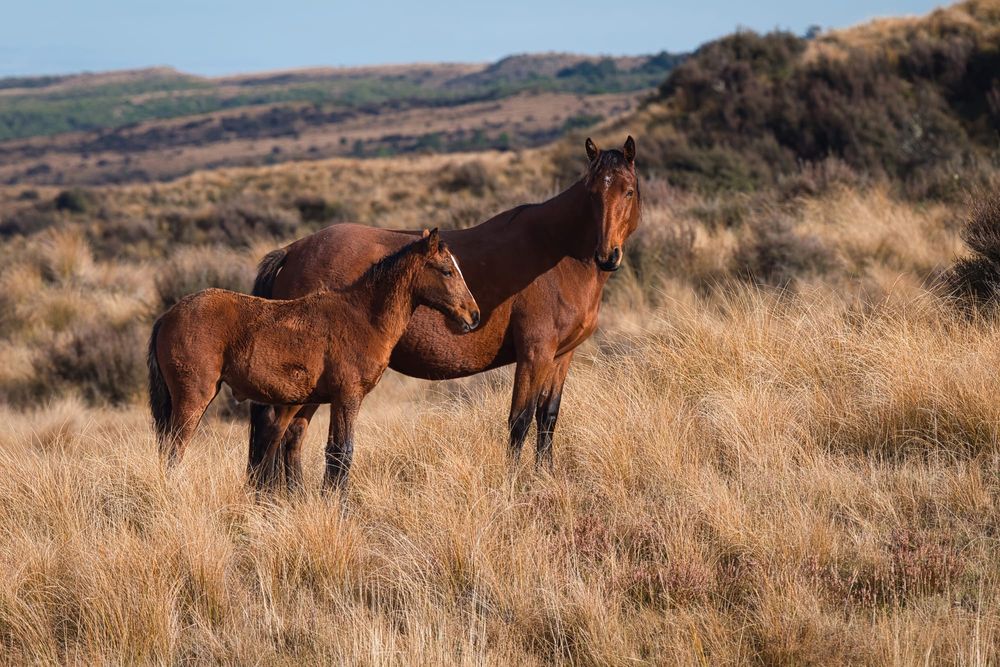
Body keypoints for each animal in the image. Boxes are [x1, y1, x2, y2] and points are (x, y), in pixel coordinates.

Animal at [147, 229, 479, 490]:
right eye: (446, 271)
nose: (473, 316)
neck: (362, 316)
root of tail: (167, 316)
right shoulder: (347, 397)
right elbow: (341, 452)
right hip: (194, 398)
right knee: (174, 450)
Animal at [250, 136, 641, 488]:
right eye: (592, 194)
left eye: (629, 191)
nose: (607, 255)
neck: (556, 252)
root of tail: (293, 250)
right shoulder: (535, 354)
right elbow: (520, 421)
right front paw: (517, 486)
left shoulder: (561, 356)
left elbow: (548, 418)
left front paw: (545, 477)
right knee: (284, 433)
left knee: (291, 435)